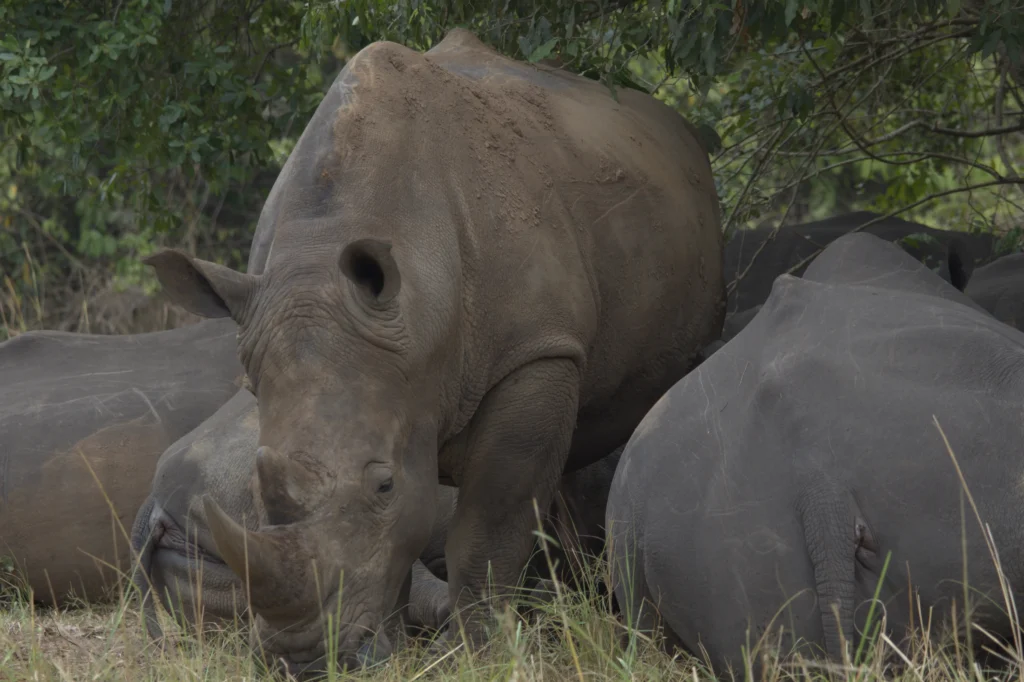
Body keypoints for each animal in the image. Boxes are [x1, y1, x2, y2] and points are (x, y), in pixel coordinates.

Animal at [141, 27, 723, 673]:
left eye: (383, 485)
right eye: (258, 487)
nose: (302, 659)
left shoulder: (536, 353)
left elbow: (486, 526)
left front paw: (480, 657)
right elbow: (401, 539)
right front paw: (392, 655)